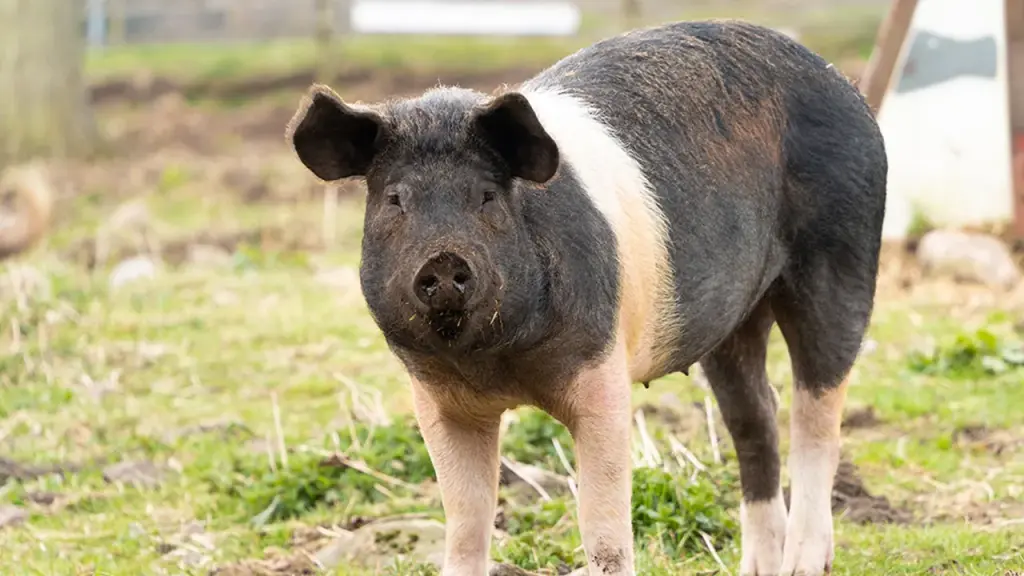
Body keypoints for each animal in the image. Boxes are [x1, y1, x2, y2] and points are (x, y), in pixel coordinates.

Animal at [285, 18, 886, 576]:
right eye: (395, 200)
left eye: (487, 196)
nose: (444, 260)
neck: (499, 365)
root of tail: (844, 84)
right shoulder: (438, 400)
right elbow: (467, 522)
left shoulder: (602, 372)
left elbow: (602, 528)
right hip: (733, 321)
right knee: (756, 418)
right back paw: (757, 566)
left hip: (843, 256)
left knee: (817, 414)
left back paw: (805, 562)